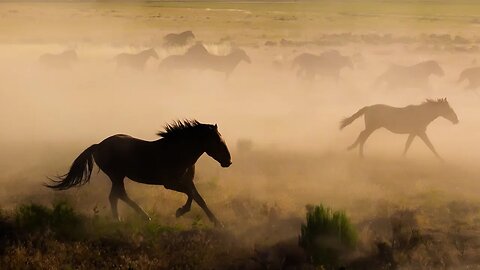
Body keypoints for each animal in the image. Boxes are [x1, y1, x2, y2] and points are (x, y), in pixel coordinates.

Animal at [46, 120, 231, 226]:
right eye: (217, 141)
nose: (228, 161)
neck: (178, 152)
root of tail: (98, 145)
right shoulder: (170, 183)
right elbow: (191, 195)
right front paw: (180, 211)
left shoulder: (186, 181)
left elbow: (199, 198)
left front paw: (217, 222)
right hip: (117, 176)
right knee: (118, 195)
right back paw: (139, 217)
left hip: (118, 177)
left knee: (115, 196)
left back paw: (123, 218)